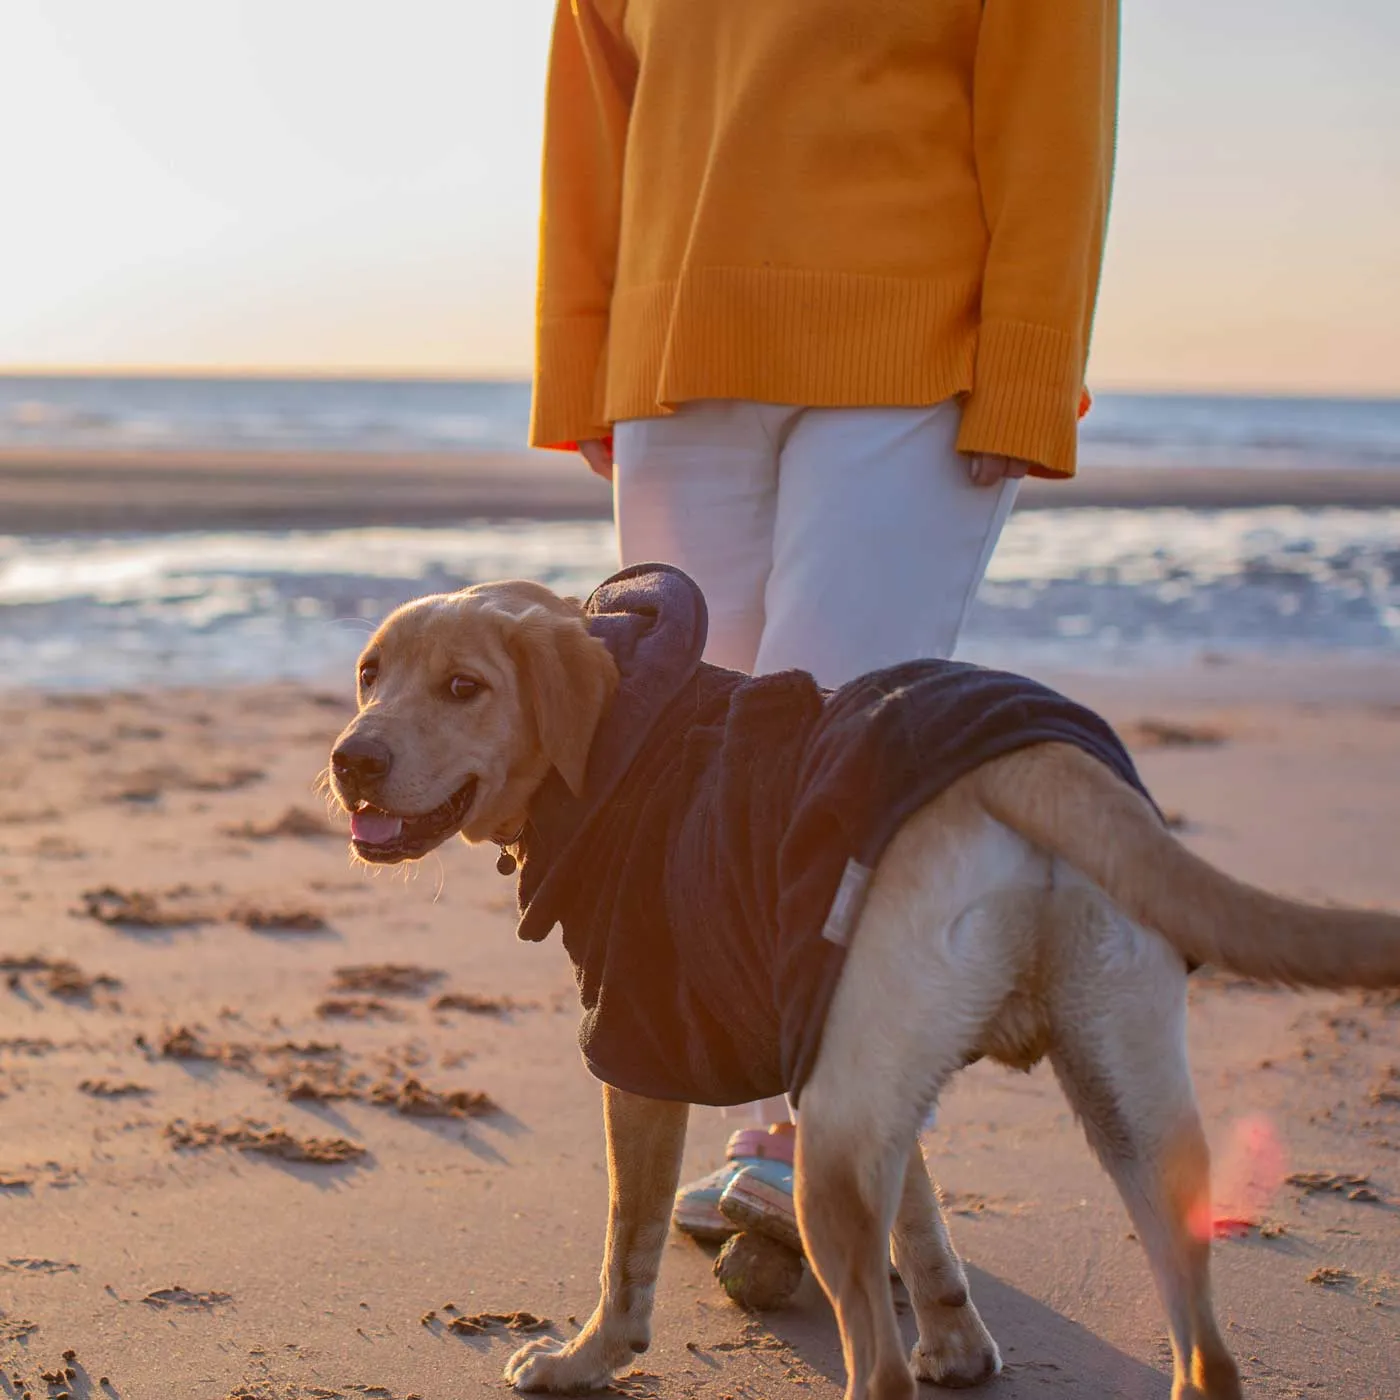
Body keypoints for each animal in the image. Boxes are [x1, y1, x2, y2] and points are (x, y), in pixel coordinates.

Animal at [324, 568, 1400, 1400]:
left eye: (464, 686)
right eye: (370, 675)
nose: (352, 756)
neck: (625, 717)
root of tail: (1029, 765)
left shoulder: (639, 1052)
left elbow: (625, 1248)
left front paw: (583, 1361)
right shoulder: (858, 1066)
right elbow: (925, 1223)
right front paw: (958, 1346)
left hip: (835, 1159)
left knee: (873, 1372)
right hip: (1125, 1109)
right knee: (1207, 1355)